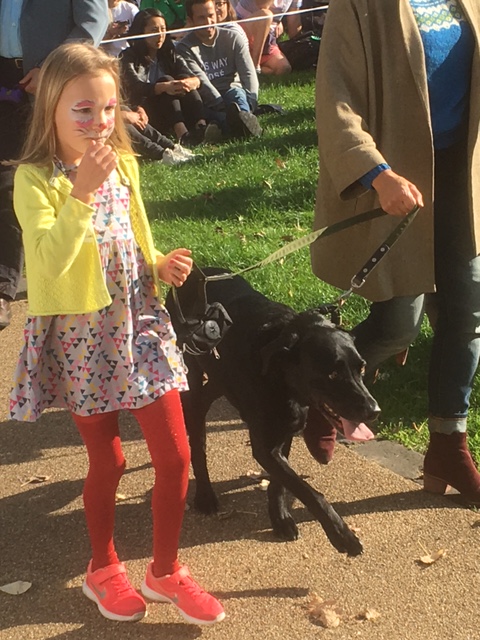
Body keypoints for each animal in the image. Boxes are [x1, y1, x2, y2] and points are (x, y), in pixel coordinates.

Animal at [166, 268, 380, 556]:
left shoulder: (286, 430)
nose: (373, 410)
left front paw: (280, 518)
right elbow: (308, 491)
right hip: (192, 369)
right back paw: (205, 495)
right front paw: (342, 534)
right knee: (197, 435)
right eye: (332, 374)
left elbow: (281, 483)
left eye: (362, 367)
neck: (282, 378)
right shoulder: (265, 445)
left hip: (220, 378)